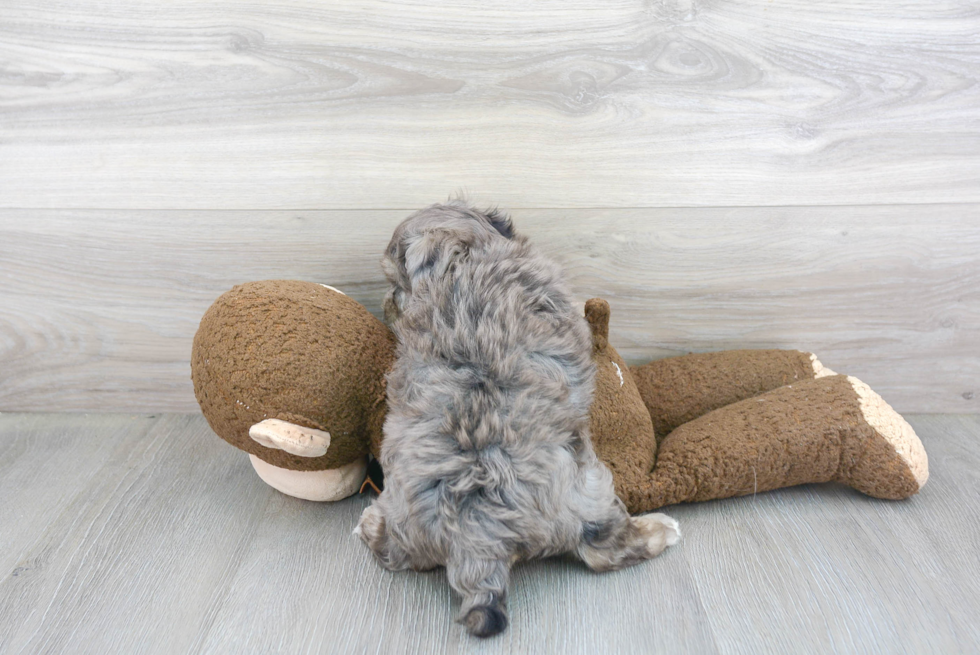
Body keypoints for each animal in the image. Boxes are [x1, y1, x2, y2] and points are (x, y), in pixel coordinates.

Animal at [354, 202, 680, 640]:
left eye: (396, 280)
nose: (388, 303)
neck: (462, 261)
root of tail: (476, 534)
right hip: (591, 484)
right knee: (606, 549)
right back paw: (662, 529)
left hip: (410, 521)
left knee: (396, 553)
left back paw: (372, 525)